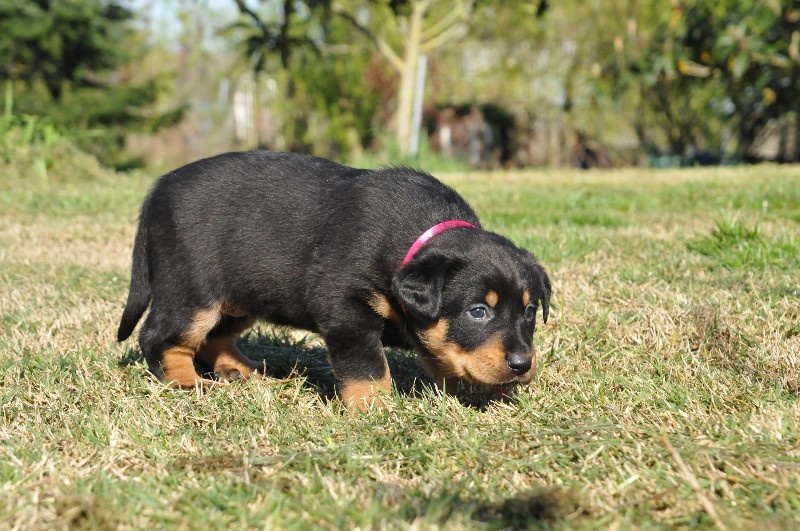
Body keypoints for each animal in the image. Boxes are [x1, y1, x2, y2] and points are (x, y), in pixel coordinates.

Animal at [117, 151, 551, 409]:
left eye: (530, 311)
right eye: (478, 311)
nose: (521, 364)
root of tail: (156, 192)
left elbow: (439, 350)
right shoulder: (345, 309)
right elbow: (367, 366)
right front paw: (375, 409)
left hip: (242, 296)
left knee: (215, 337)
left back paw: (245, 372)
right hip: (193, 292)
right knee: (160, 336)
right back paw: (187, 383)